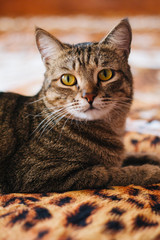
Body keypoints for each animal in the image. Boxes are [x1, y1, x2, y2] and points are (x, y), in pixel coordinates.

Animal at [0, 18, 160, 194]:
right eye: (67, 79)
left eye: (105, 74)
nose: (88, 96)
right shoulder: (39, 173)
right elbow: (112, 172)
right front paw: (150, 170)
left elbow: (132, 155)